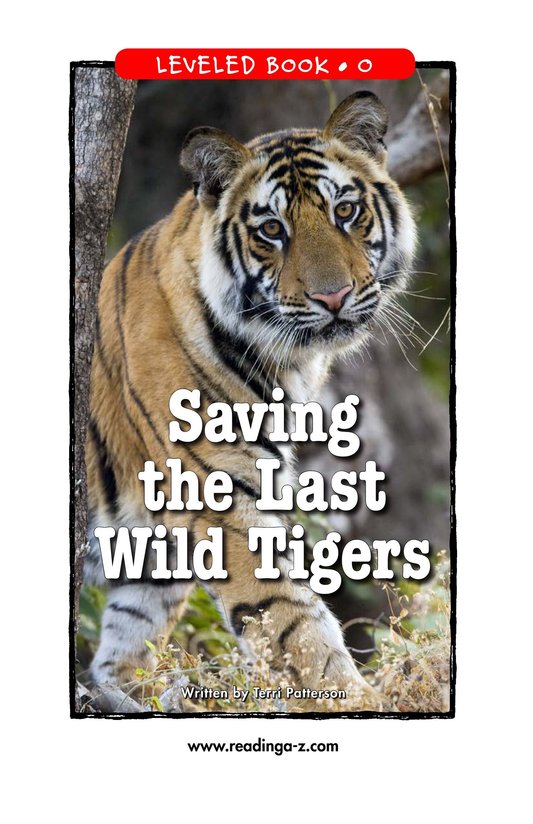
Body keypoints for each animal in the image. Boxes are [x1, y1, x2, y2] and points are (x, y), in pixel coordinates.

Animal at [84, 90, 416, 711]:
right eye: (271, 228)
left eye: (344, 211)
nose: (333, 297)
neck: (290, 363)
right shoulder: (219, 494)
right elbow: (292, 621)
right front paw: (351, 699)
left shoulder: (153, 546)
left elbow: (128, 639)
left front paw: (144, 693)